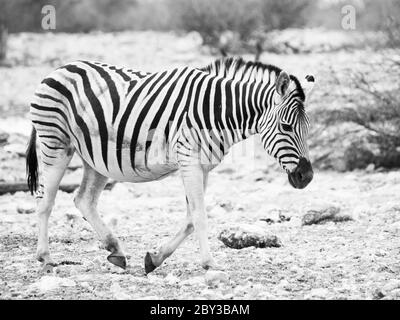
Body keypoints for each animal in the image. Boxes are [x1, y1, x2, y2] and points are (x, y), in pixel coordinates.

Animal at [26, 57, 316, 272]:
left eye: (307, 128)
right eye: (286, 127)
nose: (308, 176)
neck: (217, 111)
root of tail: (60, 67)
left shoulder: (203, 166)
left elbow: (189, 218)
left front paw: (155, 258)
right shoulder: (189, 159)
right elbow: (199, 215)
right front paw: (210, 263)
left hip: (94, 158)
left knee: (83, 200)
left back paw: (116, 251)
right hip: (56, 143)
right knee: (45, 200)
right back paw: (46, 258)